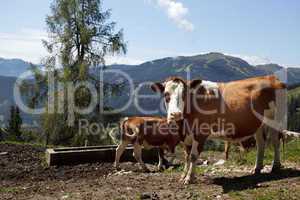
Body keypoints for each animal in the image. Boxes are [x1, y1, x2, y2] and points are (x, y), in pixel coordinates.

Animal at [152, 74, 288, 184]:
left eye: (184, 94)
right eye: (166, 95)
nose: (175, 114)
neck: (183, 124)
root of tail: (272, 77)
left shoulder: (200, 133)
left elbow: (193, 156)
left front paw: (189, 178)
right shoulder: (185, 136)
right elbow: (186, 156)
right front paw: (183, 176)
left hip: (276, 118)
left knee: (275, 141)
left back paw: (275, 166)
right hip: (258, 123)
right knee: (261, 143)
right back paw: (257, 168)